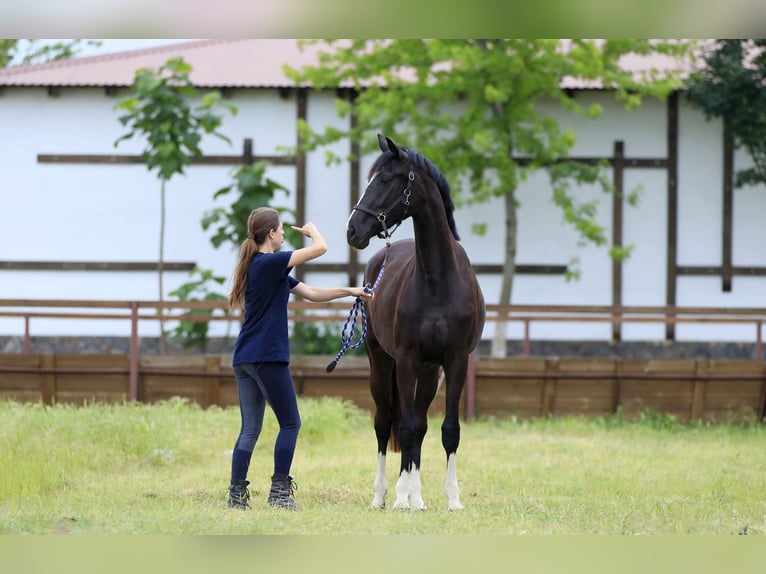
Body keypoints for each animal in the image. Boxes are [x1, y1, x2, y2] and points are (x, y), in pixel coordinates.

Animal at [348, 135, 486, 512]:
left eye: (383, 180)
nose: (353, 230)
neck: (438, 280)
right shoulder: (407, 358)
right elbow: (405, 427)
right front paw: (400, 498)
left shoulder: (454, 361)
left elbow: (447, 429)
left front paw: (452, 499)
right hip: (382, 363)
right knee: (385, 423)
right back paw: (383, 495)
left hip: (428, 371)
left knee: (420, 424)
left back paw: (418, 496)